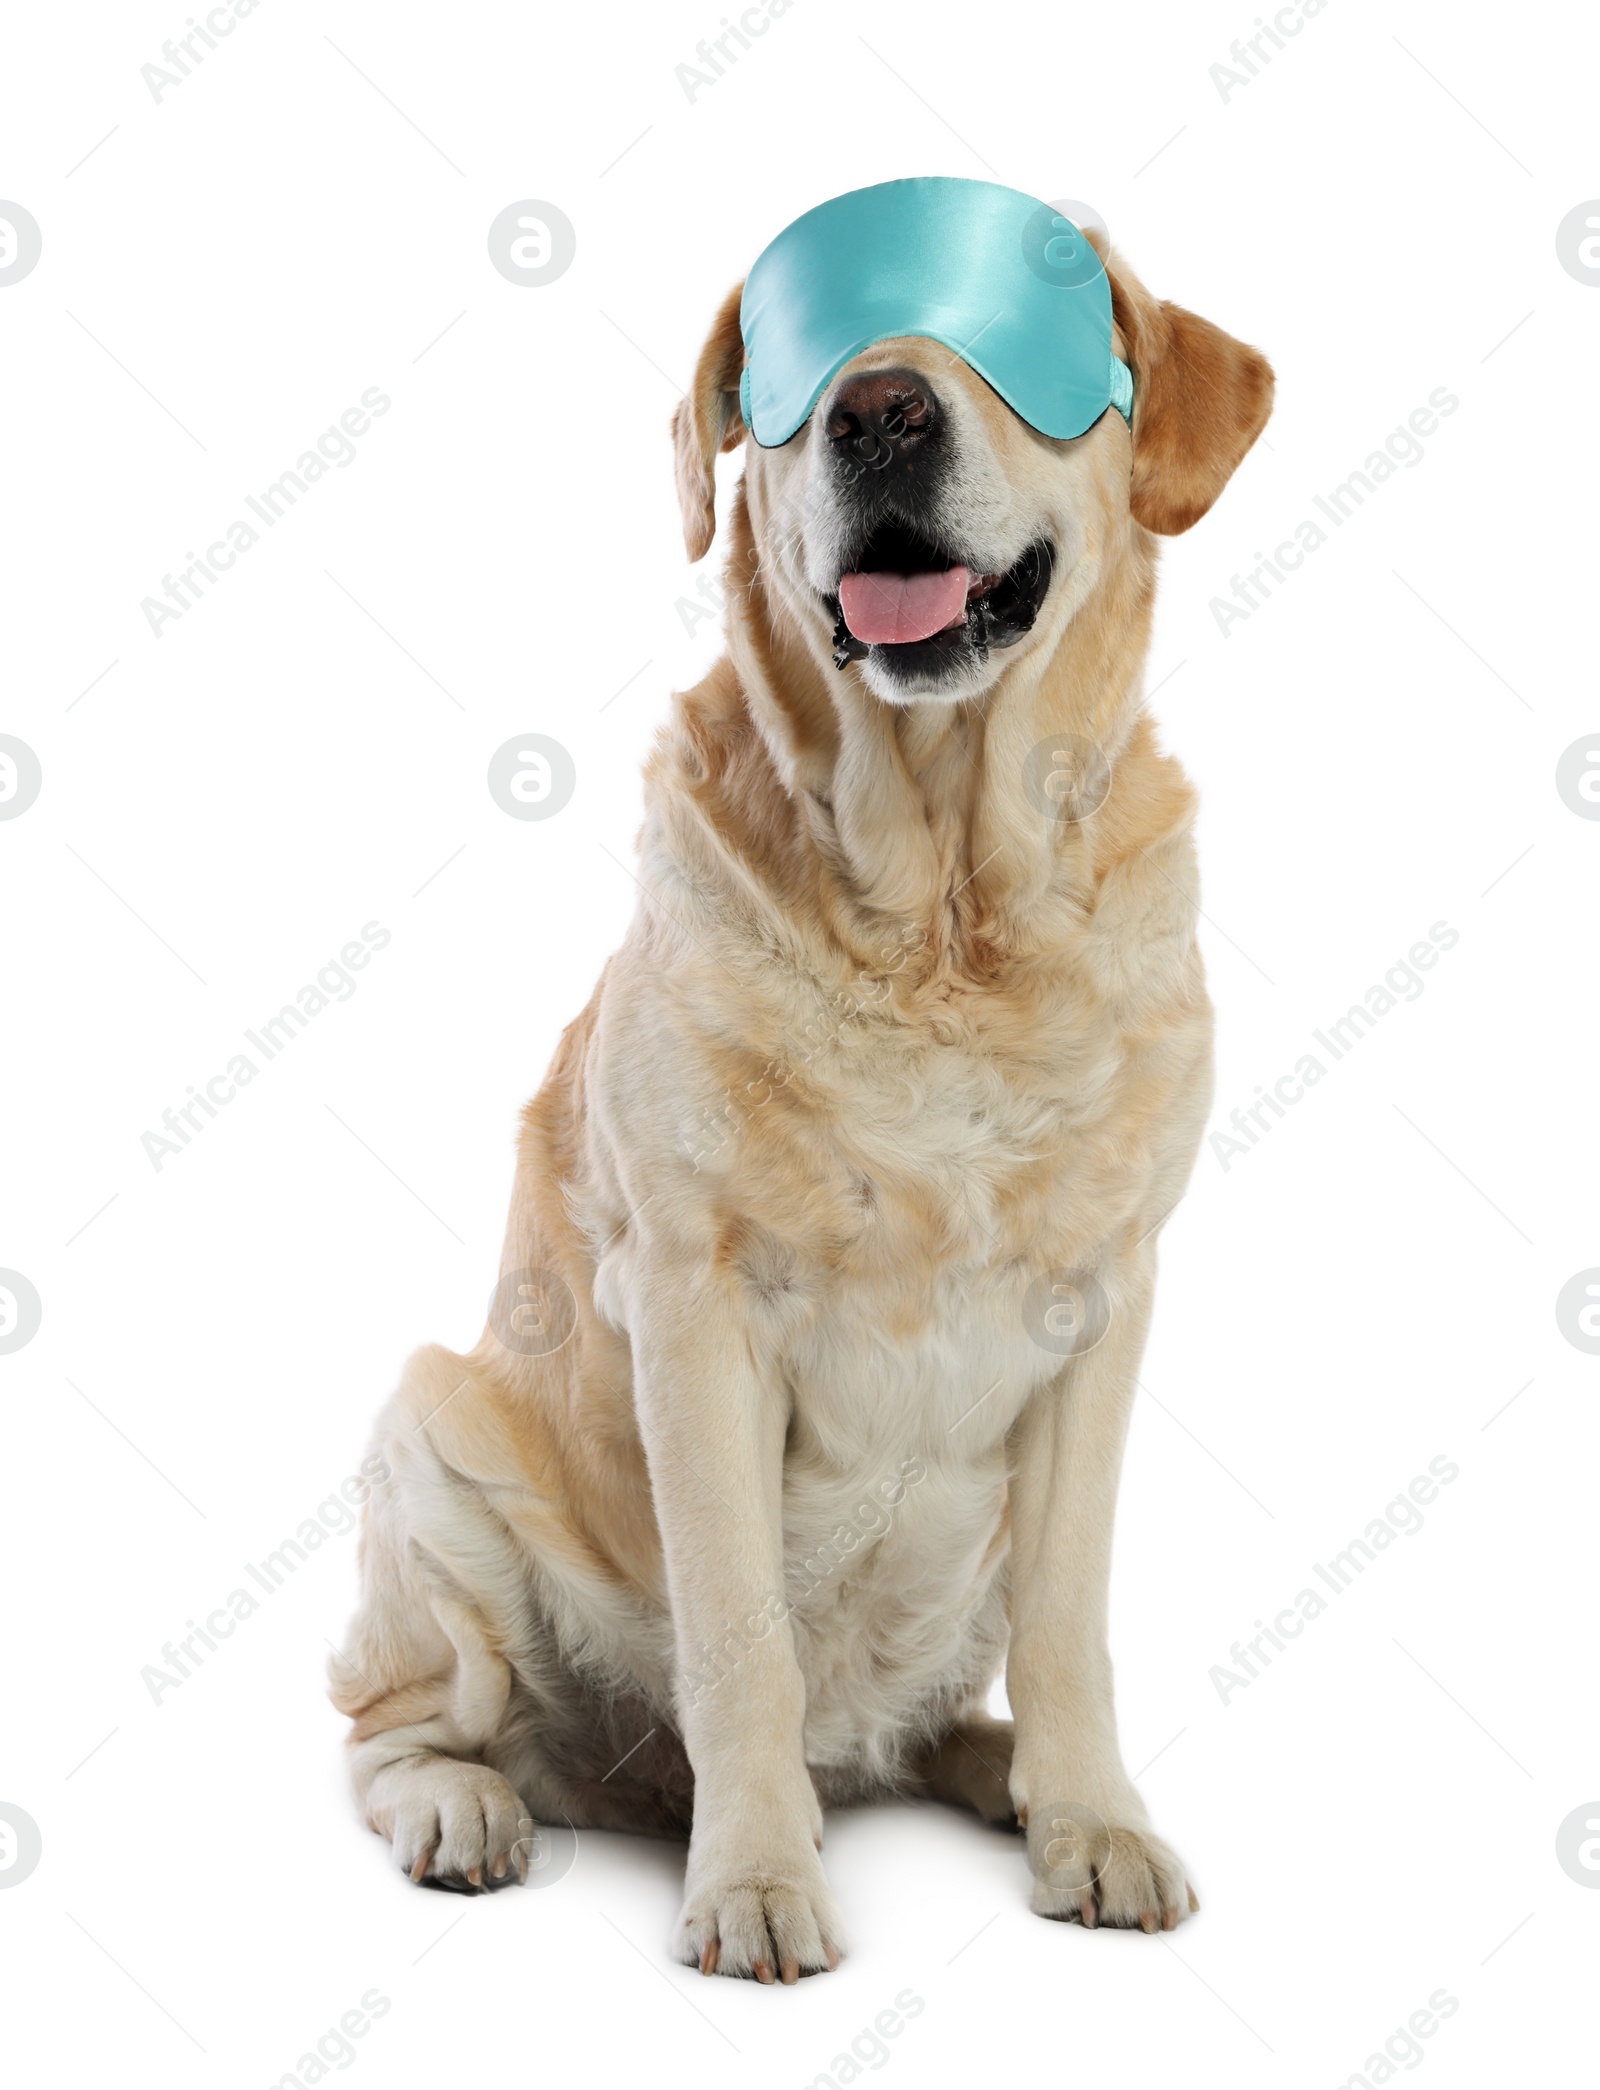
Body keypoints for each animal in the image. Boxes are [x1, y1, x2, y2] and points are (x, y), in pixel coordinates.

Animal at [332, 175, 1269, 1972]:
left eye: (1022, 334)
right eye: (800, 359)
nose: (881, 409)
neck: (949, 912)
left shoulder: (1105, 1305)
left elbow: (1070, 1623)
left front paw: (1093, 1820)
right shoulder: (696, 1306)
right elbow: (740, 1638)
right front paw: (757, 1880)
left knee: (937, 1712)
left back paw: (997, 1774)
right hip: (432, 1436)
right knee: (398, 1724)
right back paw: (466, 1810)